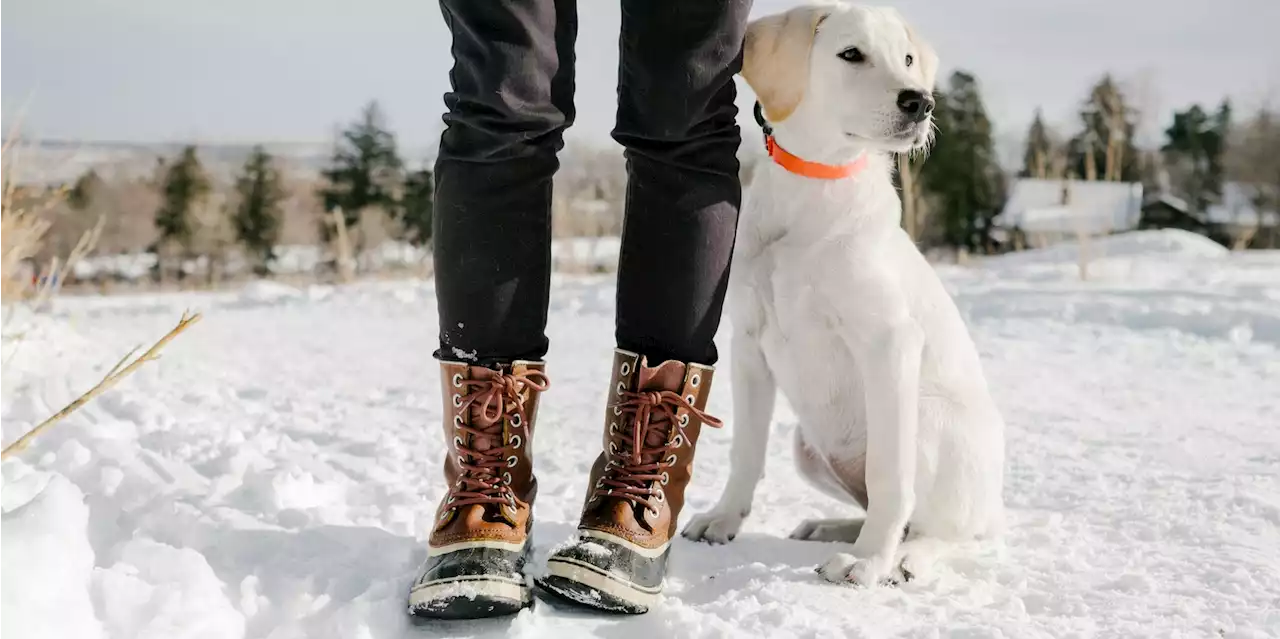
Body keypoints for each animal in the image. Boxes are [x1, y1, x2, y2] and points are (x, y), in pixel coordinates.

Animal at [686, 1, 1003, 589]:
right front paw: (723, 518)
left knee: (941, 530)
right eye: (851, 54)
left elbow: (890, 477)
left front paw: (870, 561)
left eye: (906, 59)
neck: (816, 183)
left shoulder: (889, 343)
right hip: (806, 446)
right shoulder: (748, 343)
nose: (920, 102)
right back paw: (829, 527)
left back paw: (903, 557)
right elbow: (746, 451)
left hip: (927, 417)